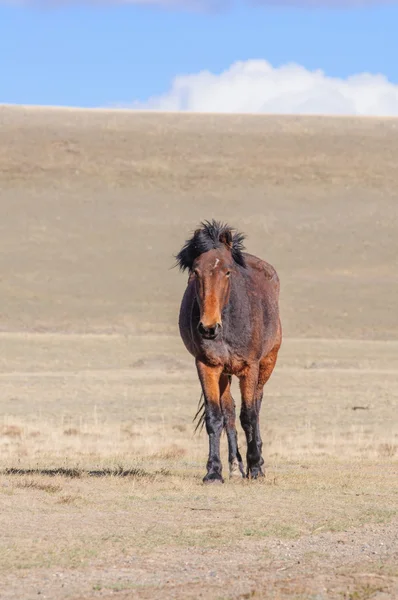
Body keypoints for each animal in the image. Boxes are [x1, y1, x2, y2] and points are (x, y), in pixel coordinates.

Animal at [176, 220, 282, 482]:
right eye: (196, 272)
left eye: (227, 271)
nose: (208, 328)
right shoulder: (207, 365)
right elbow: (216, 417)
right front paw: (214, 471)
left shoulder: (249, 367)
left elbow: (249, 415)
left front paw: (256, 468)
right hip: (224, 372)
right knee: (230, 411)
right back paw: (235, 465)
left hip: (267, 363)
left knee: (256, 405)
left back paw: (257, 461)